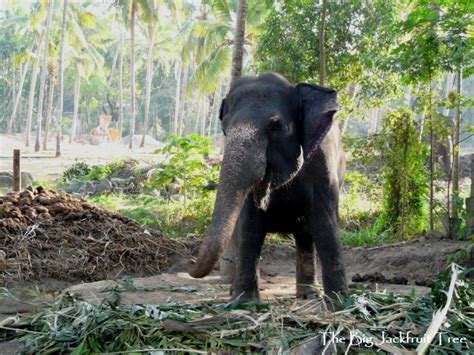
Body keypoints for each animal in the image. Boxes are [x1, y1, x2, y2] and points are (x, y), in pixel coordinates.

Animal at [189, 73, 348, 304]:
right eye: (225, 129)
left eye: (276, 126)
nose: (190, 263)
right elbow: (250, 225)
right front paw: (244, 301)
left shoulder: (322, 164)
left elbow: (324, 222)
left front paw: (340, 303)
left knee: (306, 235)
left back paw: (309, 294)